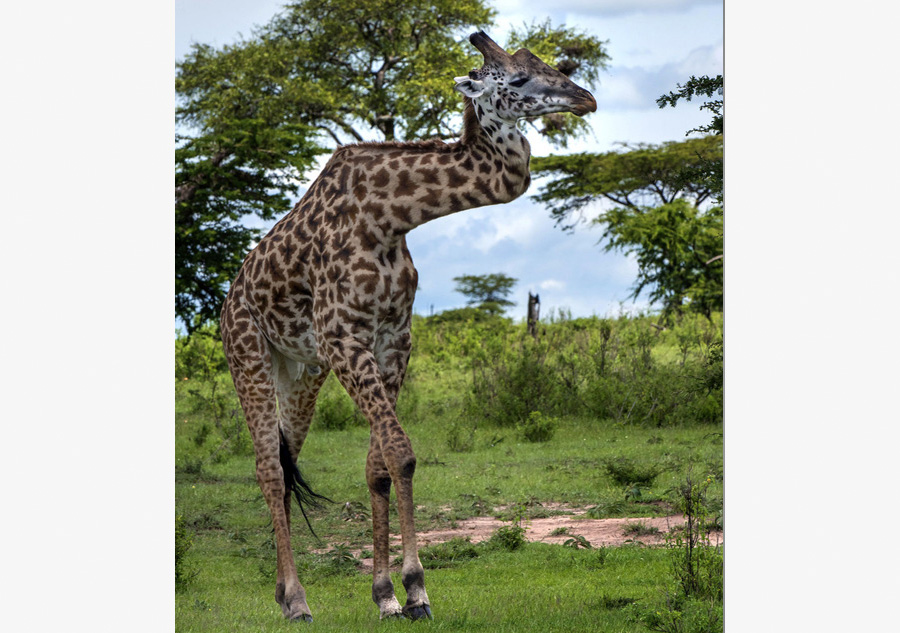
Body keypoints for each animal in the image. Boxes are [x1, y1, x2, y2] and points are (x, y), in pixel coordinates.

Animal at [219, 31, 596, 622]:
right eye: (516, 79)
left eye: (550, 64)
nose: (586, 99)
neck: (389, 217)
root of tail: (230, 298)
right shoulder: (343, 337)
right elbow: (402, 452)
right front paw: (416, 589)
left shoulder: (394, 338)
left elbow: (377, 463)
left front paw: (388, 595)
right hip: (248, 356)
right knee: (268, 469)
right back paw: (298, 602)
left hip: (301, 370)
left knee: (284, 461)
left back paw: (282, 594)